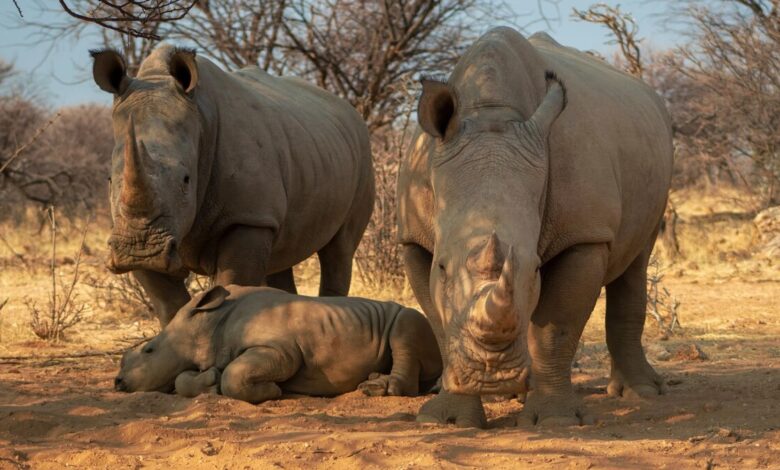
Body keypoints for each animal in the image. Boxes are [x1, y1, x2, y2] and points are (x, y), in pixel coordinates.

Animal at [91, 44, 374, 325]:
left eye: (186, 179)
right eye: (109, 181)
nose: (140, 250)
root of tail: (349, 109)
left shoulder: (248, 217)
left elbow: (231, 287)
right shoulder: (131, 228)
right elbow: (170, 305)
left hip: (362, 155)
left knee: (340, 248)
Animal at [114, 285, 442, 404]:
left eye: (149, 350)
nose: (118, 382)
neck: (208, 321)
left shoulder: (281, 352)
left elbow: (236, 375)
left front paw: (273, 392)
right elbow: (184, 378)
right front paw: (211, 381)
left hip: (409, 318)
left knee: (406, 324)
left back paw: (376, 390)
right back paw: (372, 381)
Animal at [397, 28, 674, 427]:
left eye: (535, 271)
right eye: (443, 267)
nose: (491, 376)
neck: (491, 111)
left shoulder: (584, 235)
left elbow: (556, 327)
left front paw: (555, 420)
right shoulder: (413, 238)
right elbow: (439, 320)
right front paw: (444, 421)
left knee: (637, 260)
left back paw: (643, 393)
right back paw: (512, 393)